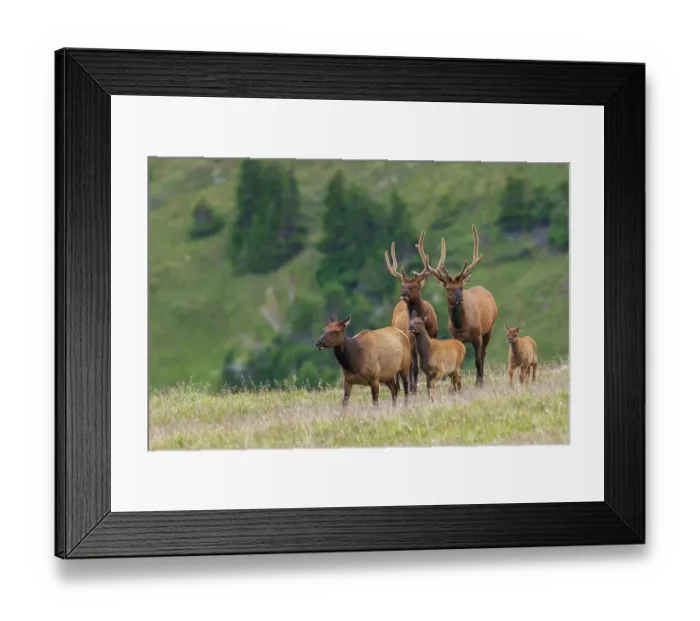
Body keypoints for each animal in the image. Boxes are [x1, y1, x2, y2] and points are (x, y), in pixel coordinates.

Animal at [384, 240, 439, 394]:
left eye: (415, 286)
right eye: (402, 285)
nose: (403, 293)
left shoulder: (433, 335)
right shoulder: (412, 341)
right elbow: (414, 368)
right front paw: (414, 389)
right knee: (406, 366)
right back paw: (403, 386)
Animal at [416, 227, 498, 388]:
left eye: (461, 286)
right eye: (448, 288)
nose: (459, 298)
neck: (461, 326)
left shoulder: (477, 335)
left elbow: (477, 360)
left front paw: (478, 382)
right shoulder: (456, 337)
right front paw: (454, 384)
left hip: (489, 329)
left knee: (483, 354)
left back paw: (481, 378)